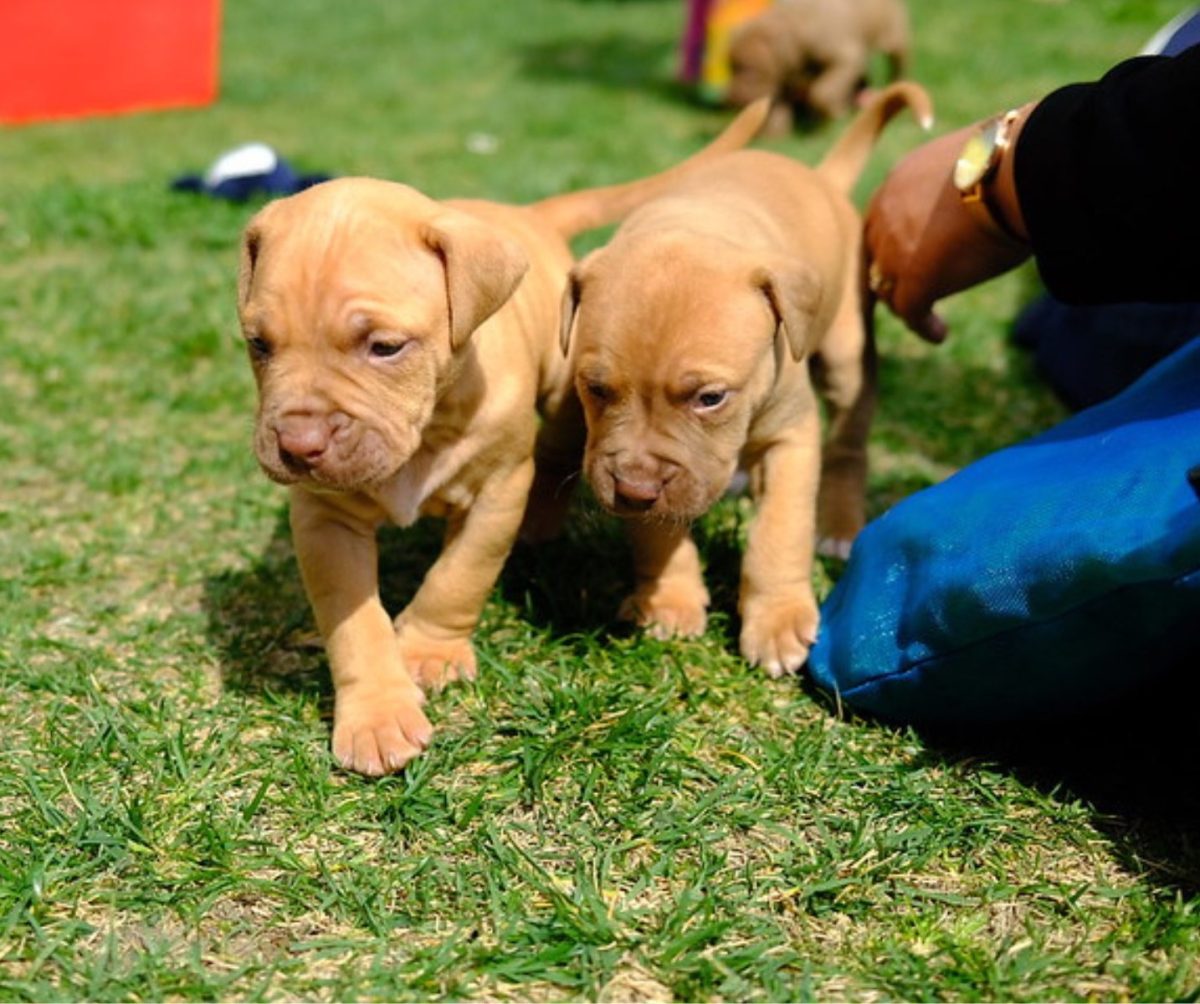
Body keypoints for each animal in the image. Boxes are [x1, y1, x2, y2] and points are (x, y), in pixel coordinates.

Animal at [234, 100, 768, 777]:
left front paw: (429, 653)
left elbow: (458, 576)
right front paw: (377, 713)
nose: (299, 447)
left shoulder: (497, 492)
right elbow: (354, 620)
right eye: (259, 344)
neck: (429, 425)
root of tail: (529, 215)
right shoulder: (324, 518)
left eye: (385, 347)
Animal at [556, 78, 931, 671]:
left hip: (846, 354)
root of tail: (821, 177)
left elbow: (780, 531)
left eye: (710, 398)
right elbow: (657, 532)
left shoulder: (792, 437)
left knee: (849, 441)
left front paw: (777, 620)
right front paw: (669, 600)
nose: (634, 489)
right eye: (595, 390)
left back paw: (838, 526)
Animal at [720, 0, 907, 134]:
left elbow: (821, 93)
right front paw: (775, 136)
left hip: (894, 31)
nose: (732, 99)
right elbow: (777, 105)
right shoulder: (783, 75)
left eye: (749, 69)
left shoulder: (843, 59)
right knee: (860, 75)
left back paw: (896, 87)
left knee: (898, 60)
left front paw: (835, 115)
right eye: (732, 67)